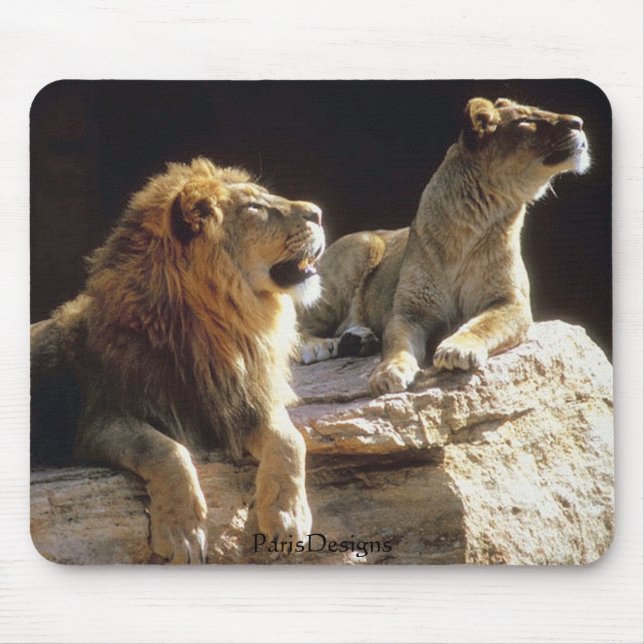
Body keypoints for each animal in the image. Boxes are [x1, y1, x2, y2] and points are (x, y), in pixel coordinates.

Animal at [31, 157, 325, 564]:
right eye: (253, 207)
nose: (319, 213)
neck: (220, 327)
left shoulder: (245, 401)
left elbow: (290, 439)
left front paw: (288, 516)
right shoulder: (101, 420)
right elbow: (167, 450)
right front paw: (182, 533)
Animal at [298, 97, 590, 395]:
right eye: (526, 121)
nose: (579, 122)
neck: (472, 228)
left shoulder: (512, 302)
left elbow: (483, 325)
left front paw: (457, 349)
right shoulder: (410, 312)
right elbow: (397, 345)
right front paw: (388, 372)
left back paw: (357, 339)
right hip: (359, 251)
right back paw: (321, 345)